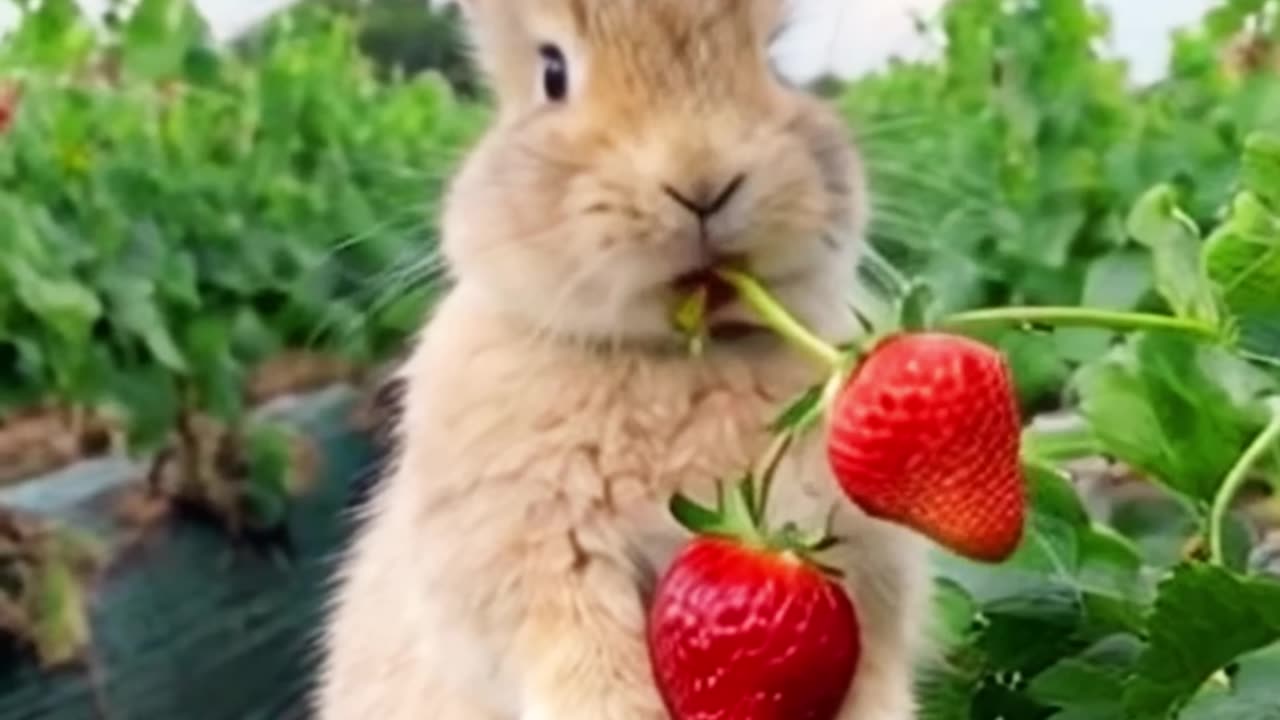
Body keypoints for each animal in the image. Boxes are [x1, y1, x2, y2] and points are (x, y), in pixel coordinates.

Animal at [312, 1, 931, 717]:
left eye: (774, 60)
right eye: (552, 75)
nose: (702, 181)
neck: (681, 353)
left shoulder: (860, 566)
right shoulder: (550, 565)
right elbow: (594, 673)